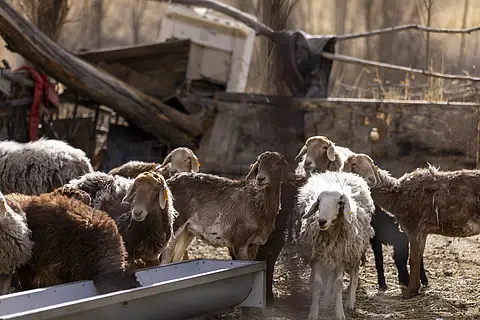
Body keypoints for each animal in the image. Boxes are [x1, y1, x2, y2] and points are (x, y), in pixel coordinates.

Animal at [296, 172, 376, 320]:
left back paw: (350, 302)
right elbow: (318, 283)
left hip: (355, 250)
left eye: (339, 202)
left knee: (354, 273)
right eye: (319, 201)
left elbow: (338, 283)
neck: (331, 235)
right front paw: (314, 312)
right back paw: (327, 299)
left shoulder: (341, 257)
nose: (322, 221)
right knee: (330, 277)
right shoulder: (318, 257)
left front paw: (339, 312)